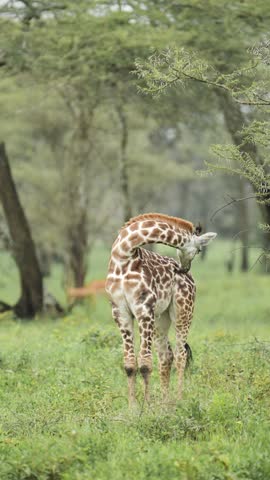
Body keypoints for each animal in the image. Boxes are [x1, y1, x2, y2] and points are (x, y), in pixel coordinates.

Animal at [105, 214, 217, 404]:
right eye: (200, 250)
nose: (183, 268)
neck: (123, 253)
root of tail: (191, 280)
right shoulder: (120, 311)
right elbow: (129, 364)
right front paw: (133, 407)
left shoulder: (143, 308)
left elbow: (145, 364)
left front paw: (147, 406)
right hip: (160, 318)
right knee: (166, 356)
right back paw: (165, 404)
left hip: (183, 311)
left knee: (180, 354)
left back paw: (178, 400)